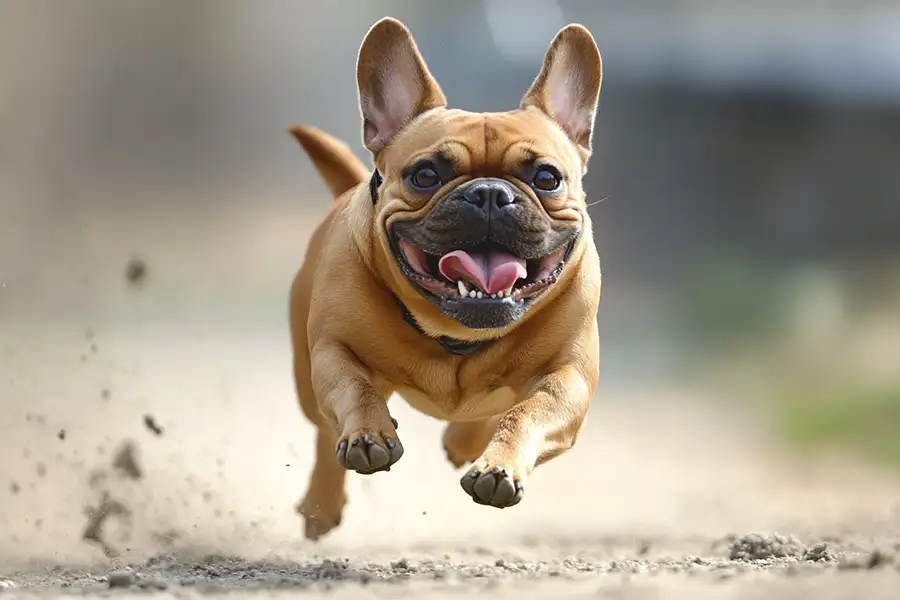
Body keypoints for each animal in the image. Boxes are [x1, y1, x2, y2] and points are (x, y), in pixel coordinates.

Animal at [284, 16, 600, 540]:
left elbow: (525, 413)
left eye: (547, 178)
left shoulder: (567, 379)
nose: (490, 193)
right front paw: (368, 434)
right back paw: (321, 503)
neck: (457, 332)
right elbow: (354, 388)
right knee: (323, 429)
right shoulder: (332, 351)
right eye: (426, 175)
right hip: (305, 378)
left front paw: (497, 466)